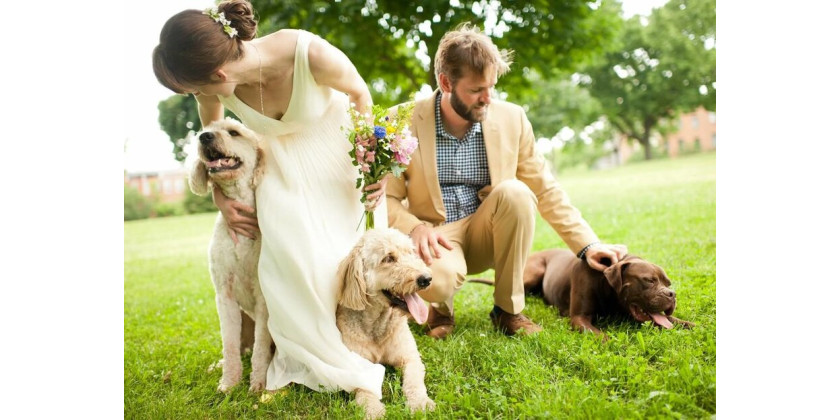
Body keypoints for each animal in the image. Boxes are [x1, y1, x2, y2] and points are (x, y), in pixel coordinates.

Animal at [188, 119, 272, 394]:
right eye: (206, 129)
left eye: (234, 133)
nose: (204, 137)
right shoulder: (224, 295)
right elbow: (229, 343)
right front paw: (228, 382)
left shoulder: (263, 298)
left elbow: (260, 347)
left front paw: (258, 383)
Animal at [336, 228, 440, 418]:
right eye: (388, 258)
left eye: (411, 252)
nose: (427, 279)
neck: (377, 324)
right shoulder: (356, 366)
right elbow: (365, 389)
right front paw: (373, 409)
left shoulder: (410, 358)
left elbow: (414, 382)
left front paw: (420, 403)